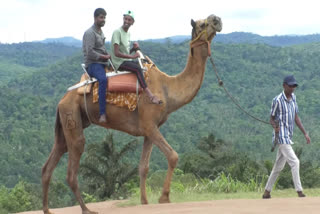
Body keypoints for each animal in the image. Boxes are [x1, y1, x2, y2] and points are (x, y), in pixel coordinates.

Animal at [41, 13, 222, 214]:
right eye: (202, 24)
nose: (217, 19)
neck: (167, 89)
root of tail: (62, 100)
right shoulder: (149, 124)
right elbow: (173, 156)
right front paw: (164, 197)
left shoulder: (150, 129)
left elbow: (143, 166)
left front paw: (144, 201)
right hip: (71, 114)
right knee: (73, 164)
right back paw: (86, 209)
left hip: (67, 120)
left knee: (53, 158)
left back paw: (47, 209)